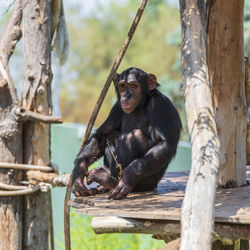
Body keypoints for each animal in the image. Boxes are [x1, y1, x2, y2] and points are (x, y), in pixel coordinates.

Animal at [73, 66, 182, 199]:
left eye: (134, 86)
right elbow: (102, 134)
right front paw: (78, 172)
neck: (141, 104)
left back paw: (109, 181)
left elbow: (164, 143)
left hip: (147, 183)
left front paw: (128, 176)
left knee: (134, 136)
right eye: (123, 86)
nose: (126, 95)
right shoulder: (117, 107)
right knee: (112, 136)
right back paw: (105, 184)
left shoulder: (160, 105)